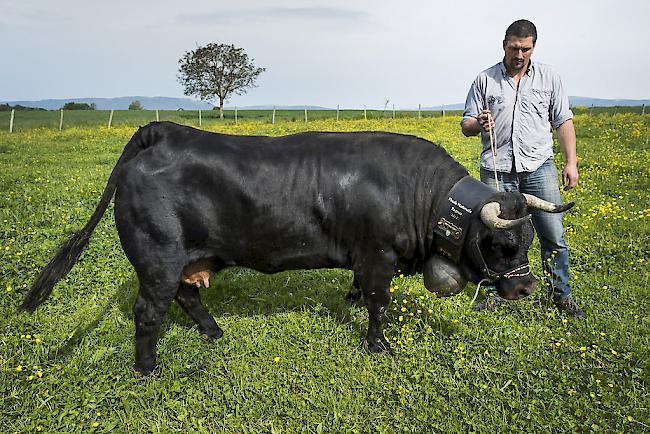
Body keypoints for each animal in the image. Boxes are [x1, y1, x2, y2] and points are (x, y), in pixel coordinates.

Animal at [20, 123, 568, 376]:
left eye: (529, 239)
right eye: (501, 242)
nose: (526, 287)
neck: (419, 194)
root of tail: (165, 132)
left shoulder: (365, 257)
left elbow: (360, 291)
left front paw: (350, 300)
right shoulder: (377, 256)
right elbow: (378, 302)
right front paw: (378, 344)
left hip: (183, 260)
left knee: (186, 296)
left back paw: (214, 333)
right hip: (158, 259)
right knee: (149, 311)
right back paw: (147, 368)